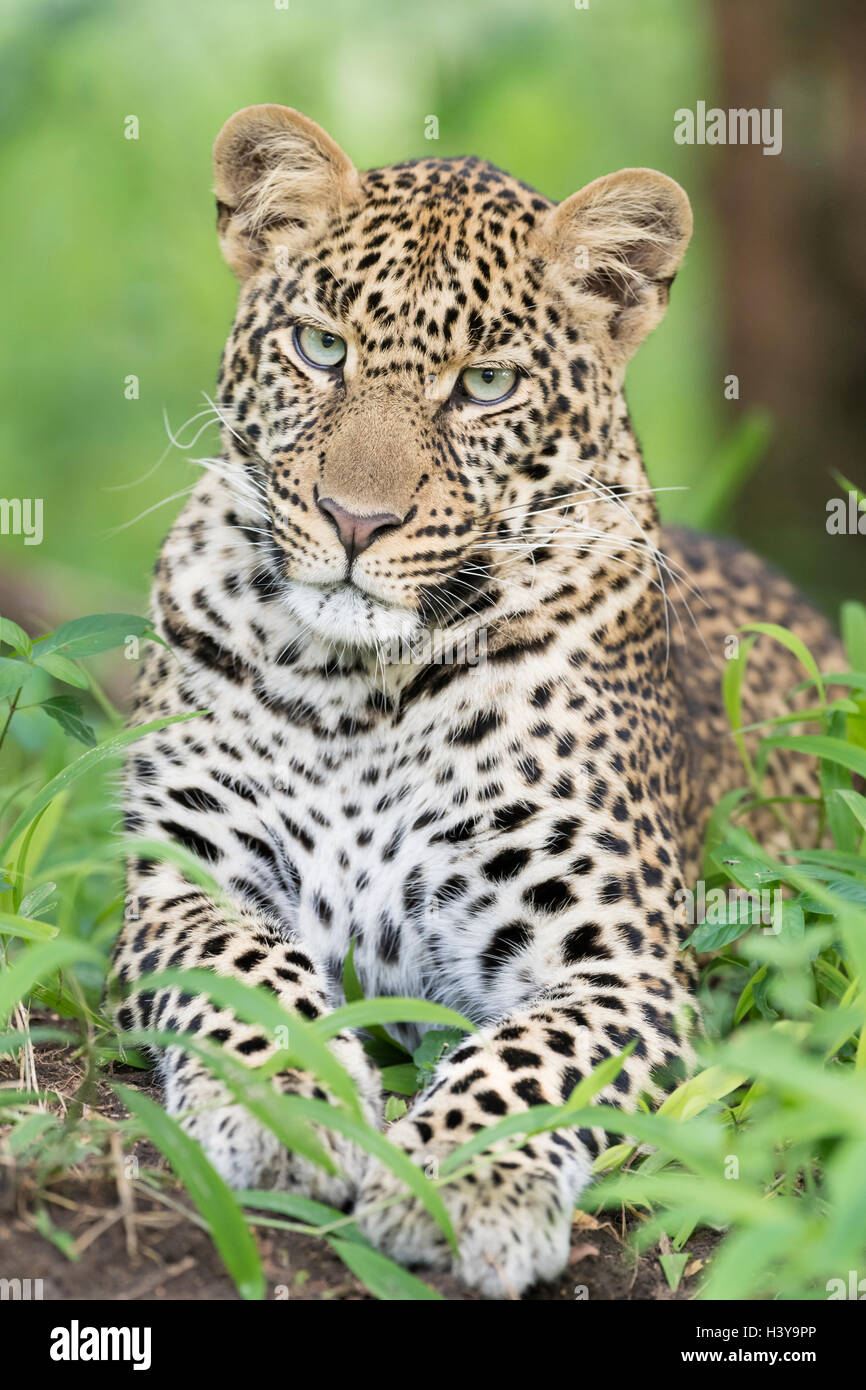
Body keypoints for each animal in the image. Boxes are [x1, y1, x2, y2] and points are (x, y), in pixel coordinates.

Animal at [111, 102, 845, 1295]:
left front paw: (462, 1183)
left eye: (485, 385)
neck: (358, 690)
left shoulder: (617, 968)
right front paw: (291, 1108)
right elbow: (249, 974)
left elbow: (524, 1066)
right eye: (322, 348)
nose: (356, 520)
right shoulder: (184, 884)